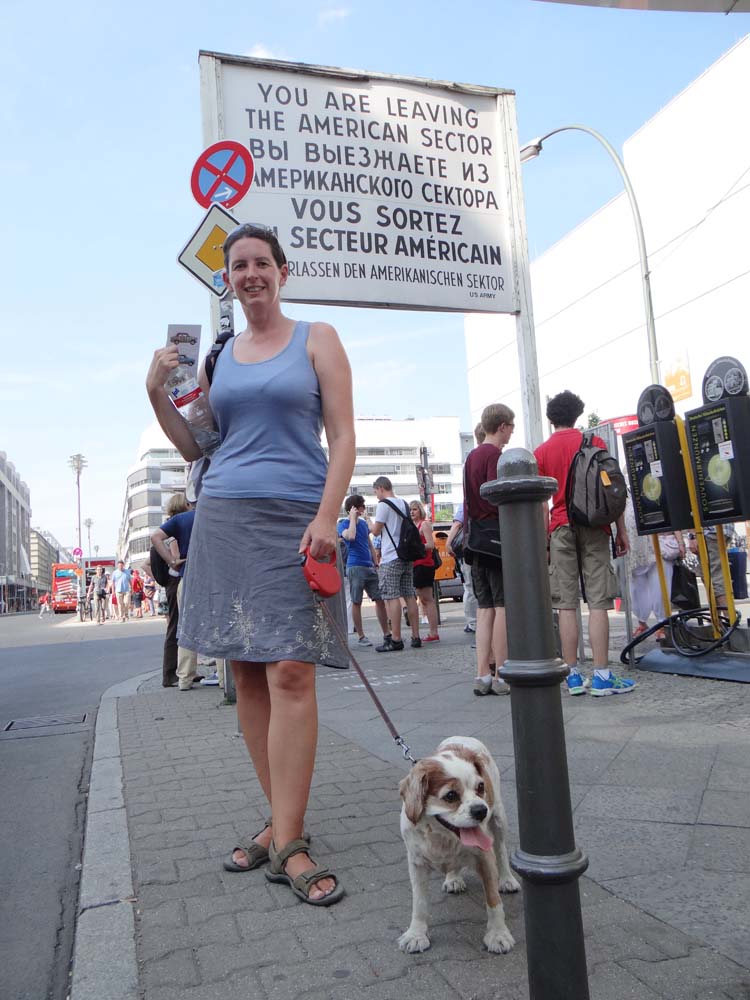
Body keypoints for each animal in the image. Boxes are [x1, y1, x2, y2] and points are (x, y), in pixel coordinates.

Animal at [398, 736, 520, 954]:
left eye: (480, 788)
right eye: (451, 796)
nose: (481, 810)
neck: (442, 836)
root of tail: (462, 737)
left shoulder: (485, 857)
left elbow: (494, 900)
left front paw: (498, 934)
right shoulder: (417, 863)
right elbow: (419, 903)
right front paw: (416, 934)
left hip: (499, 819)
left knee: (501, 850)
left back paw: (507, 879)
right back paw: (453, 878)